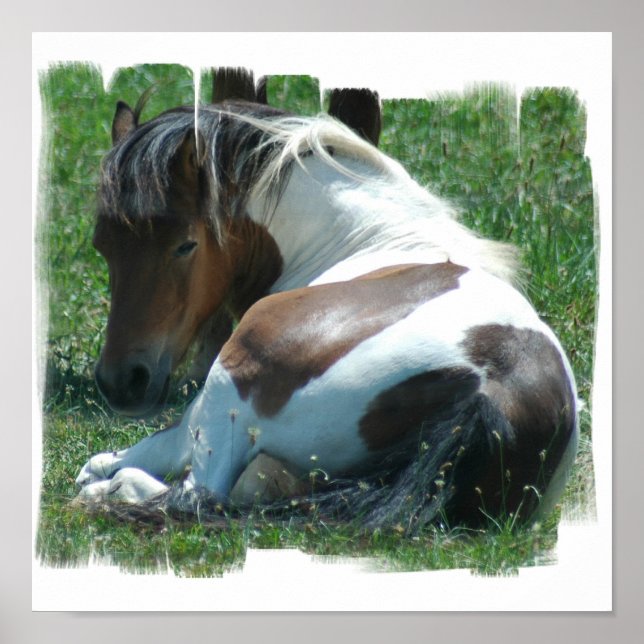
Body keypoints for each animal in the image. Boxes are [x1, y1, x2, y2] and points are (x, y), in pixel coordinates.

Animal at [74, 88, 578, 530]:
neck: (369, 236)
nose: (121, 382)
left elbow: (105, 460)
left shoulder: (191, 423)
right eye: (102, 245)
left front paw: (102, 481)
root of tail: (490, 390)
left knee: (196, 494)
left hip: (228, 381)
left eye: (185, 245)